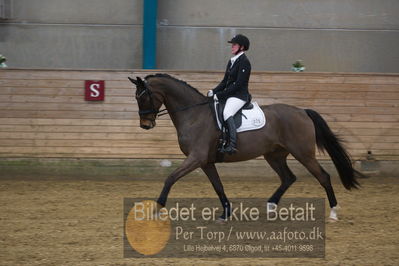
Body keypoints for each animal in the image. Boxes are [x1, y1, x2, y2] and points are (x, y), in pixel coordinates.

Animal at [129, 72, 362, 220]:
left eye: (144, 98)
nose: (145, 125)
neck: (194, 114)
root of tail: (303, 111)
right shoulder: (205, 162)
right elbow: (218, 186)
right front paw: (226, 213)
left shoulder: (196, 158)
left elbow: (170, 178)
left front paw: (157, 207)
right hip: (274, 155)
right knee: (288, 177)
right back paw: (271, 205)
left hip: (303, 154)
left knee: (323, 177)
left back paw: (333, 212)